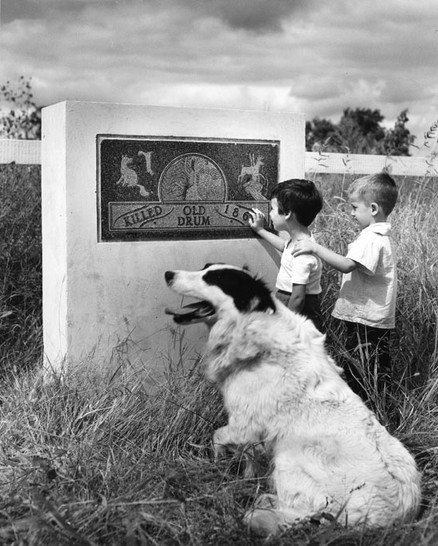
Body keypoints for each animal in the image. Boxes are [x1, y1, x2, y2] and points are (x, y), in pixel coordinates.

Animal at [164, 264, 420, 532]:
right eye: (204, 268)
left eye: (213, 279)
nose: (168, 274)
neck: (252, 324)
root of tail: (389, 519)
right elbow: (248, 457)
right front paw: (245, 476)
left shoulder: (244, 424)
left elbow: (218, 437)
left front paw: (219, 463)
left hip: (289, 458)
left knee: (298, 513)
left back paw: (263, 506)